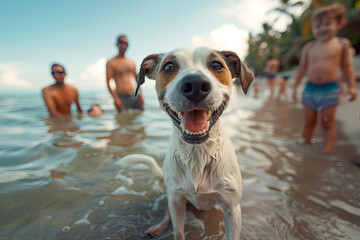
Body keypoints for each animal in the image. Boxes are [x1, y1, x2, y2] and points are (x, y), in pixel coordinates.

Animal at [125, 46, 255, 239]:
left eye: (217, 65)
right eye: (168, 66)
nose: (195, 85)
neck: (198, 152)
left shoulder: (232, 208)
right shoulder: (176, 201)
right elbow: (178, 232)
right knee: (167, 214)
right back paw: (158, 227)